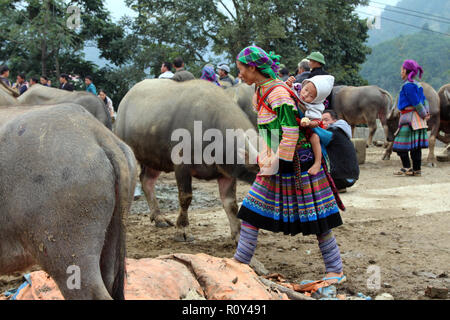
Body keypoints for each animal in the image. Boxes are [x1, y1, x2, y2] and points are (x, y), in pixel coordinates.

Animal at [114, 79, 258, 242]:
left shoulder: (226, 173)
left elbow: (231, 203)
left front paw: (238, 234)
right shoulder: (182, 165)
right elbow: (186, 197)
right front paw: (182, 230)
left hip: (154, 158)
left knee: (147, 181)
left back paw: (159, 218)